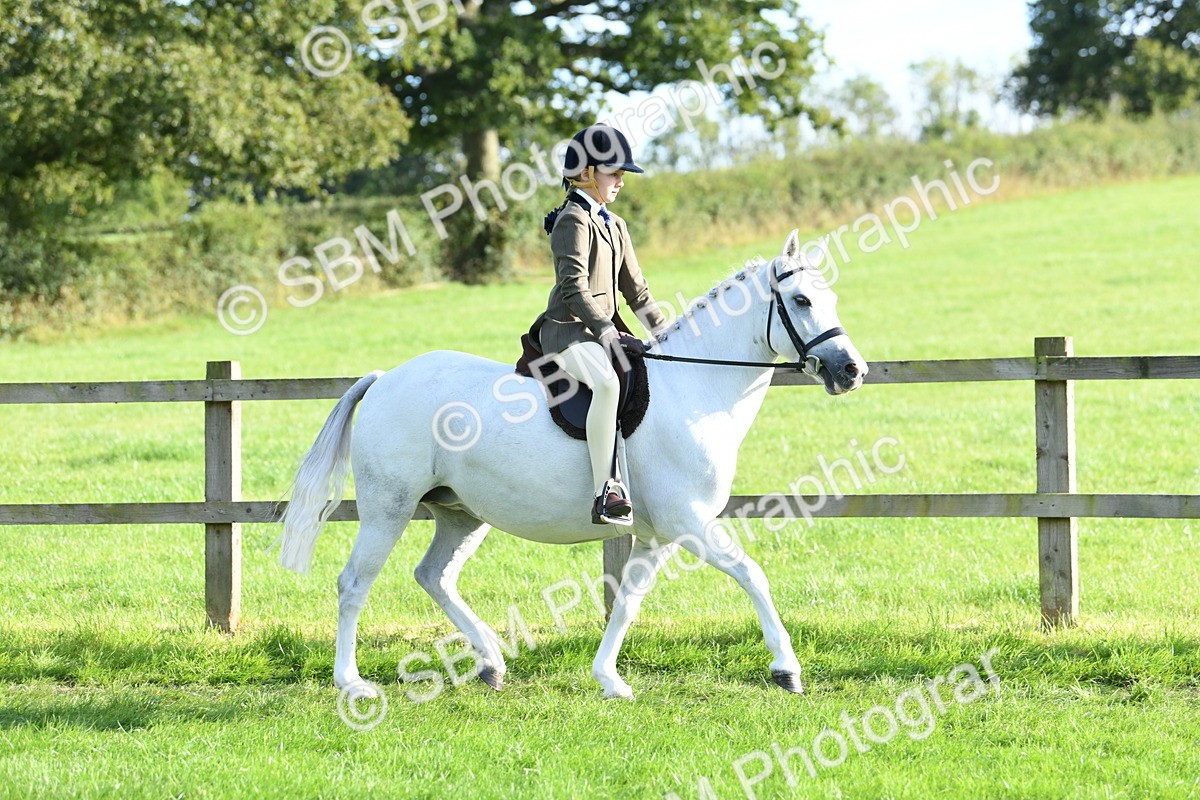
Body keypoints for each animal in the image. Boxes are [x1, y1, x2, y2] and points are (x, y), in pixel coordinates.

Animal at [277, 230, 868, 700]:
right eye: (801, 299)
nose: (852, 370)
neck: (695, 387)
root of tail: (385, 378)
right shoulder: (690, 522)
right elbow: (752, 574)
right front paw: (786, 669)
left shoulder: (659, 534)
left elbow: (628, 600)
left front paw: (609, 678)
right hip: (388, 507)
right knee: (355, 582)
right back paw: (352, 682)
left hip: (461, 513)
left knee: (434, 575)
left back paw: (491, 661)